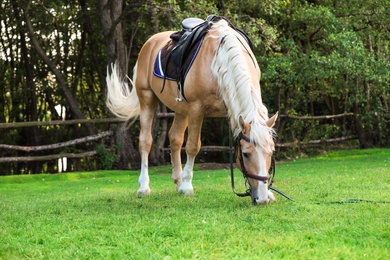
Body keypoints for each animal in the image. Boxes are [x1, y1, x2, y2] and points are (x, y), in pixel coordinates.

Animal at [105, 18, 278, 205]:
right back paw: (144, 187)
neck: (220, 62)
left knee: (175, 138)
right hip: (147, 99)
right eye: (245, 154)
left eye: (271, 152)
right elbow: (193, 146)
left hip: (181, 110)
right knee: (146, 141)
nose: (261, 198)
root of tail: (150, 43)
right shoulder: (197, 109)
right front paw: (187, 187)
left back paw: (178, 181)